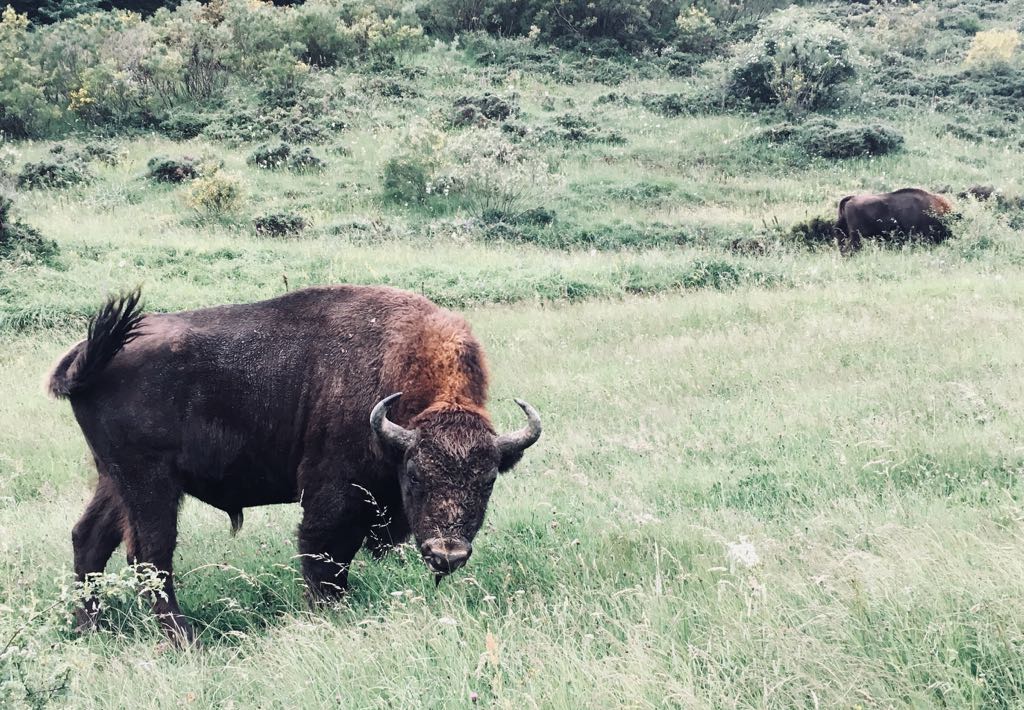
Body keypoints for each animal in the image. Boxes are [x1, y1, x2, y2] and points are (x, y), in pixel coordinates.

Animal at [48, 284, 544, 643]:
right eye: (416, 475)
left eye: (487, 482)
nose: (447, 554)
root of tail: (86, 357)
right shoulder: (333, 499)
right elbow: (324, 560)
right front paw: (328, 616)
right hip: (149, 483)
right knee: (150, 555)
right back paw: (183, 640)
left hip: (114, 479)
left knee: (89, 540)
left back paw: (89, 629)